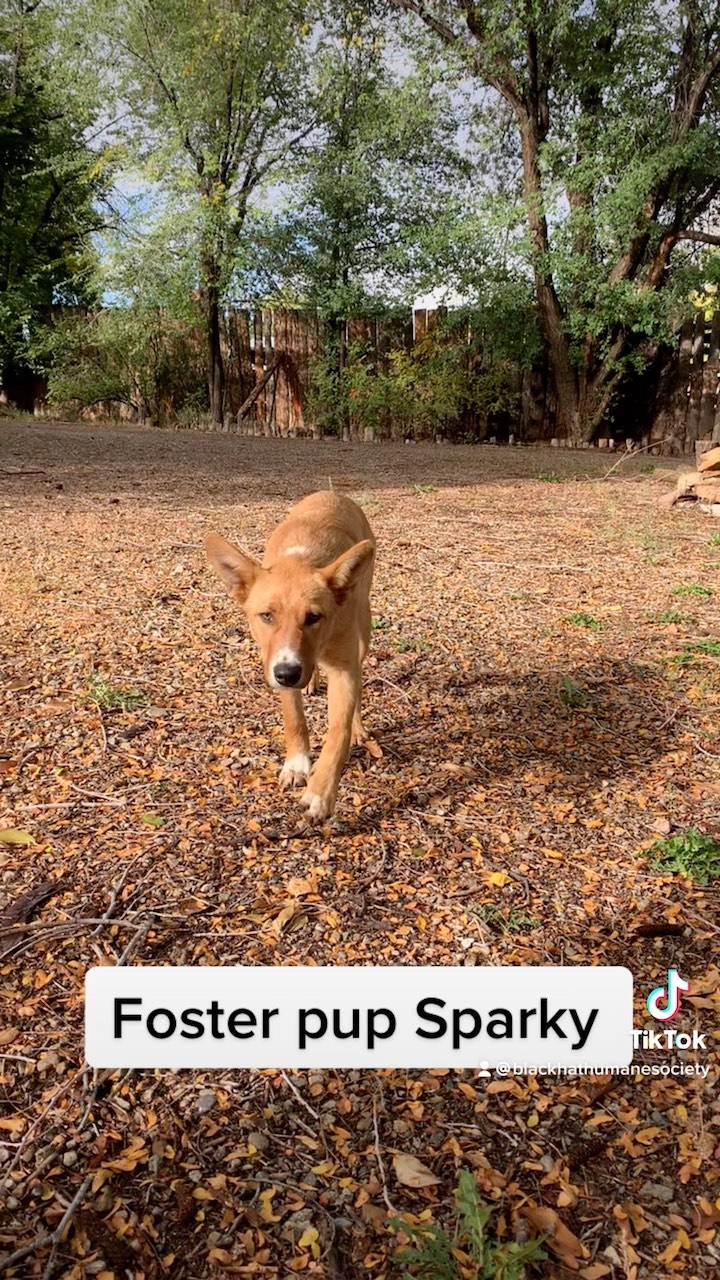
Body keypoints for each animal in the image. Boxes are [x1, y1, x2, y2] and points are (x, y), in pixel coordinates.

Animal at [204, 488, 376, 819]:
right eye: (266, 616)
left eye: (314, 617)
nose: (288, 675)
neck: (301, 560)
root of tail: (332, 491)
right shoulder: (275, 661)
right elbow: (293, 716)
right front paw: (297, 764)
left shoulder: (343, 668)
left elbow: (338, 730)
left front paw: (320, 793)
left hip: (363, 631)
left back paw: (358, 727)